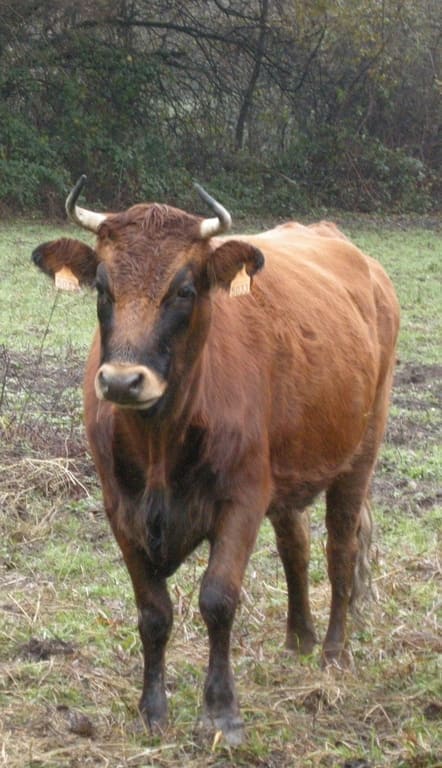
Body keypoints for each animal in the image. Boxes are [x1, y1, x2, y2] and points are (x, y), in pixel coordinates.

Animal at [32, 176, 400, 745]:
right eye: (102, 288)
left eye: (184, 290)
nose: (122, 382)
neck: (161, 444)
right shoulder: (120, 507)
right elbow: (153, 611)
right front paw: (152, 710)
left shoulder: (241, 500)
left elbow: (218, 599)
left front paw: (222, 712)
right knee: (295, 545)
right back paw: (299, 637)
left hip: (360, 452)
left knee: (340, 548)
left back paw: (333, 652)